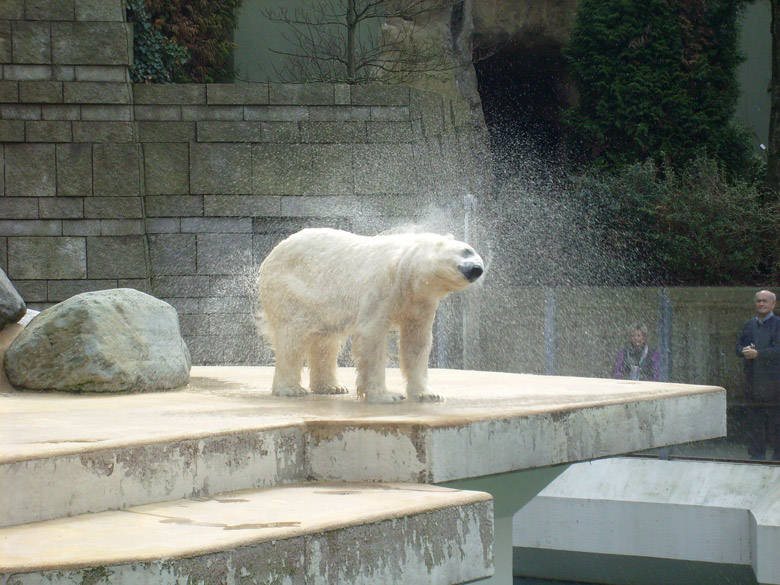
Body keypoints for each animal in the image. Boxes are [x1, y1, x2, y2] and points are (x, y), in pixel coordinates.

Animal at [256, 227, 484, 402]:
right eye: (466, 251)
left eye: (477, 256)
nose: (477, 269)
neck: (408, 271)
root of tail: (269, 257)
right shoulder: (383, 287)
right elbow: (372, 338)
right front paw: (386, 396)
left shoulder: (420, 302)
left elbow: (416, 343)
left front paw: (428, 394)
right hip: (291, 290)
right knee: (292, 339)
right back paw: (291, 389)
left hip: (322, 305)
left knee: (325, 341)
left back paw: (332, 387)